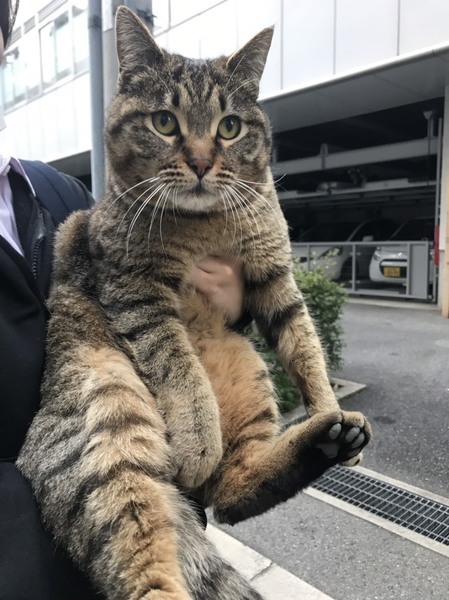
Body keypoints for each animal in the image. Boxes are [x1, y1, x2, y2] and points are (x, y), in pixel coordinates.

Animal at [17, 6, 371, 600]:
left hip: (248, 369)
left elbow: (306, 348)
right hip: (110, 428)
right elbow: (179, 366)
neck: (206, 225)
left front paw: (325, 405)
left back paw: (327, 437)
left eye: (230, 126)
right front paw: (198, 435)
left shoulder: (275, 277)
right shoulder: (136, 289)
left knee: (231, 491)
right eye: (165, 122)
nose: (204, 162)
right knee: (149, 552)